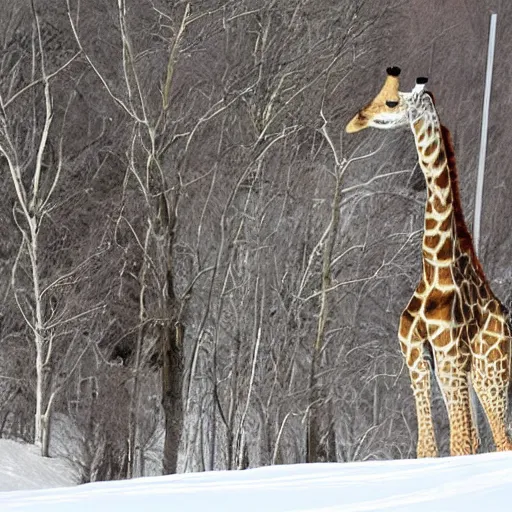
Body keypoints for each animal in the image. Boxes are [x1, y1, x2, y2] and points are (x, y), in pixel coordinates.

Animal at [344, 67, 512, 456]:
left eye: (391, 101)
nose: (356, 120)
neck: (434, 266)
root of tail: (508, 329)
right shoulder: (415, 354)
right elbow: (429, 447)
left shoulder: (450, 353)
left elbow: (461, 443)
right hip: (474, 374)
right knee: (491, 437)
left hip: (491, 372)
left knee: (500, 438)